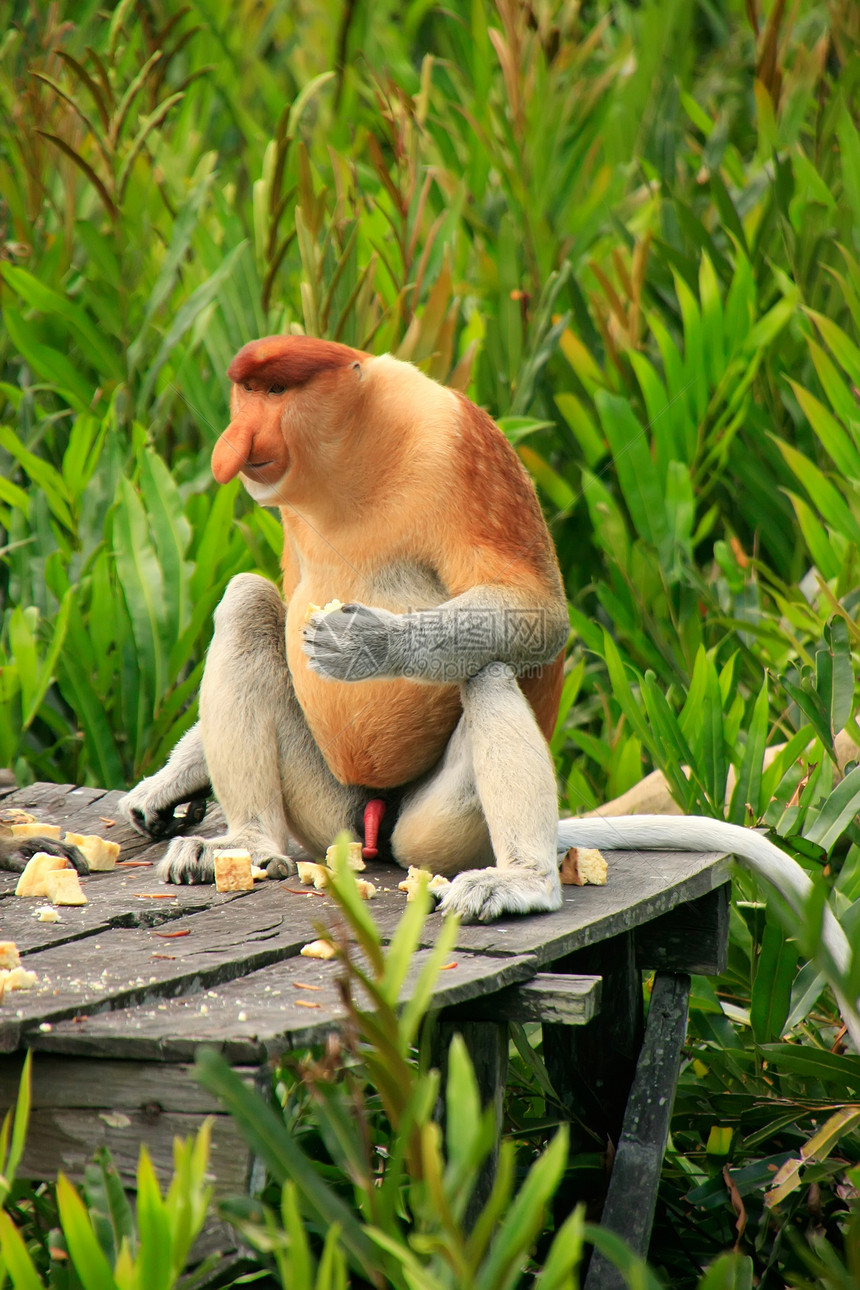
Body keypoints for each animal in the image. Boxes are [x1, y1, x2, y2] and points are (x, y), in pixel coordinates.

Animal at [117, 332, 856, 1037]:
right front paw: (166, 786)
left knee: (487, 668)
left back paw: (522, 882)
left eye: (273, 391)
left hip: (441, 831)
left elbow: (532, 611)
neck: (350, 459)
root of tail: (376, 826)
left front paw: (370, 644)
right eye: (245, 393)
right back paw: (246, 845)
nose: (235, 442)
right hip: (327, 813)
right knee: (246, 602)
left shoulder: (457, 444)